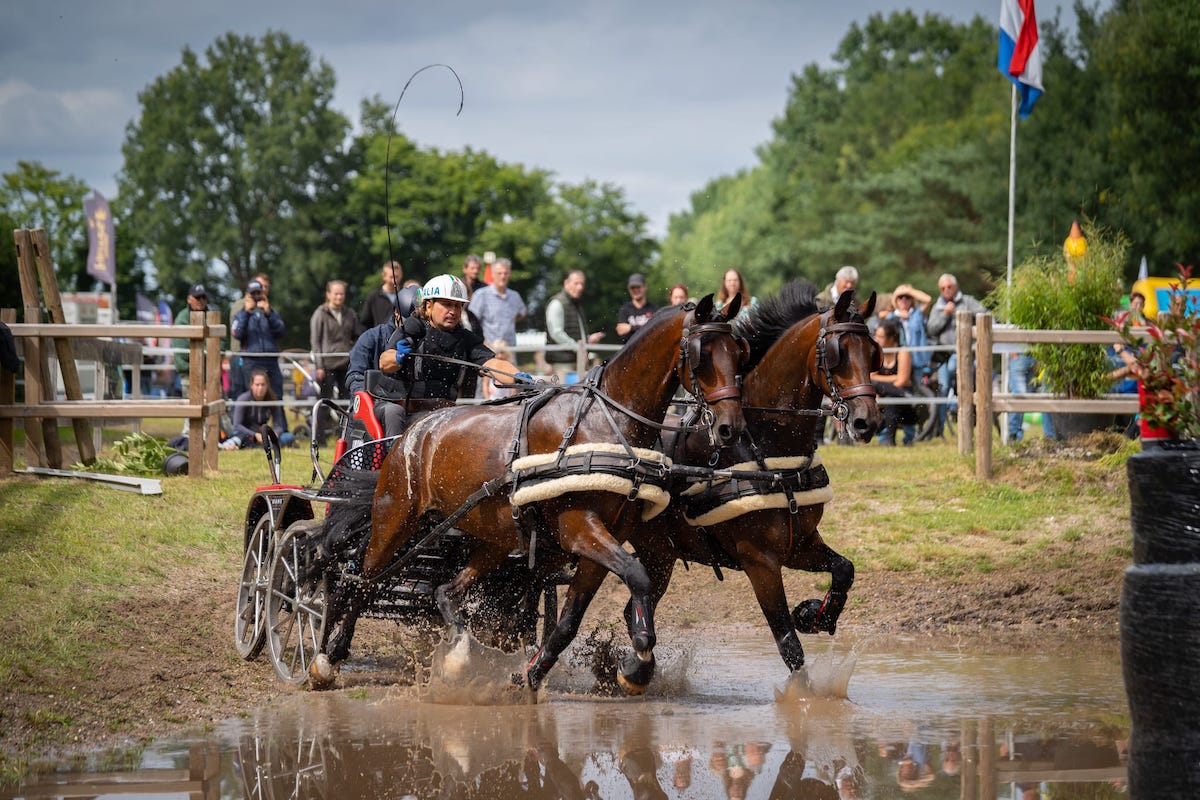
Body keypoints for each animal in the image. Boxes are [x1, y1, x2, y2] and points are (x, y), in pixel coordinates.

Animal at [324, 296, 744, 695]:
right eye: (703, 354)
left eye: (738, 351)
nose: (730, 428)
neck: (603, 423)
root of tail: (416, 430)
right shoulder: (580, 528)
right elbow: (638, 576)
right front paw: (638, 658)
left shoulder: (606, 538)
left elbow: (569, 621)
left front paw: (530, 675)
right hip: (395, 519)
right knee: (361, 582)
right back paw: (327, 658)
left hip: (493, 538)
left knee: (446, 591)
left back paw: (459, 650)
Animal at [638, 284, 883, 681]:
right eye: (838, 353)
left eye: (872, 352)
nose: (867, 421)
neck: (766, 448)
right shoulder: (760, 561)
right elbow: (789, 644)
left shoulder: (799, 544)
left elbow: (844, 569)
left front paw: (814, 614)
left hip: (659, 555)